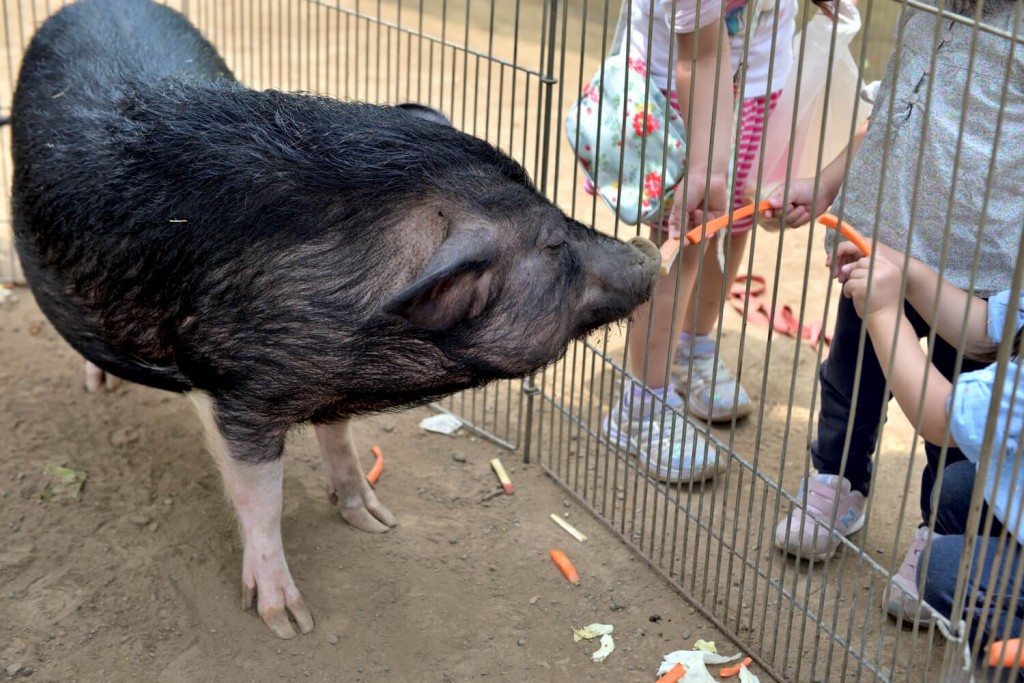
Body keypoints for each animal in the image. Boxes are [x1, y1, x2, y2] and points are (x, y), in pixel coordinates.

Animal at [12, 0, 659, 643]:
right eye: (552, 244)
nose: (650, 249)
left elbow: (340, 436)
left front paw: (376, 520)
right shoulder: (232, 391)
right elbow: (262, 499)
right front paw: (288, 622)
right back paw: (98, 384)